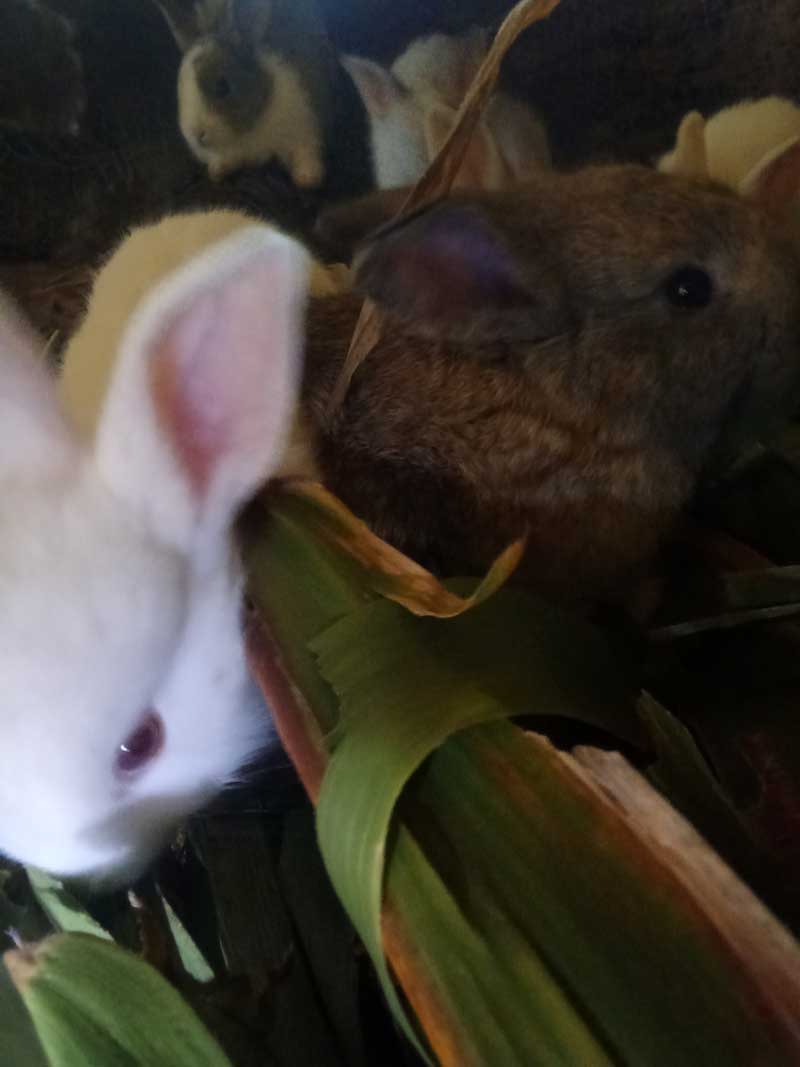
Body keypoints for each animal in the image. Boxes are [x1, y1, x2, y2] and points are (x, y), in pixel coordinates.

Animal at [155, 0, 334, 186]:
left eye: (223, 86)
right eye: (179, 85)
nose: (197, 135)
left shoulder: (305, 125)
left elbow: (305, 152)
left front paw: (308, 178)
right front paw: (217, 171)